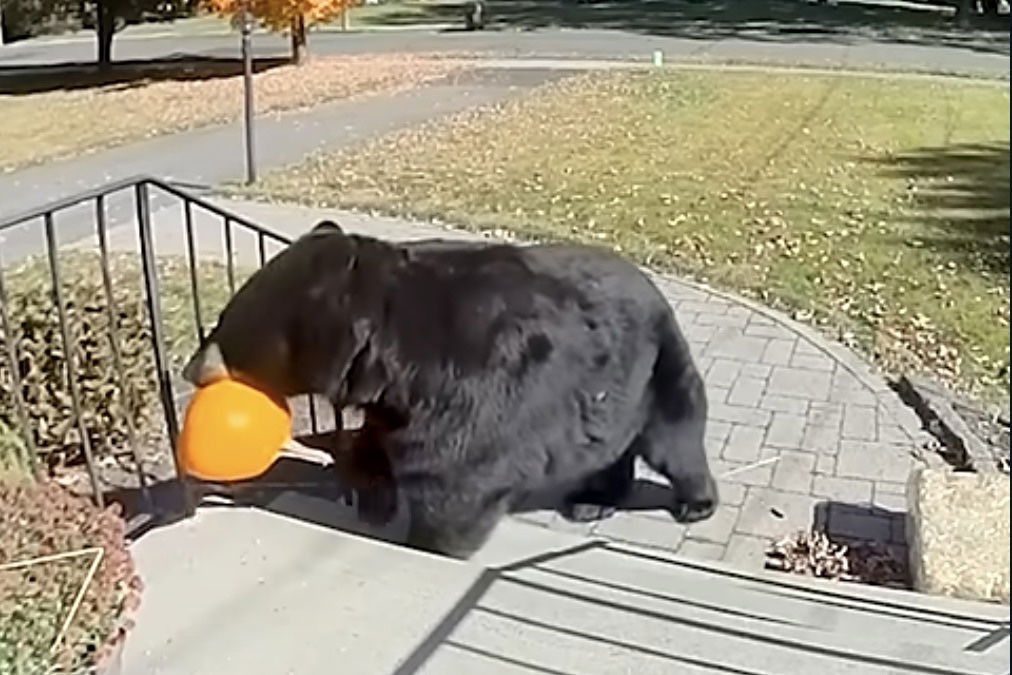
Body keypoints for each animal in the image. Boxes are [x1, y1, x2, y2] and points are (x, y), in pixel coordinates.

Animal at [184, 221, 720, 558]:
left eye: (229, 326)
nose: (191, 367)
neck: (391, 353)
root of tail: (654, 286)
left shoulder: (475, 384)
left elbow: (457, 477)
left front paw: (429, 539)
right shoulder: (398, 400)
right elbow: (379, 441)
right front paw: (373, 494)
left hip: (656, 363)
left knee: (675, 437)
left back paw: (695, 502)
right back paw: (593, 498)